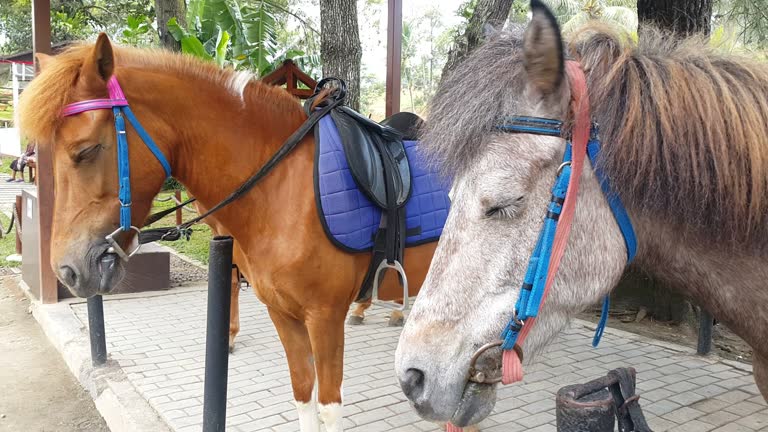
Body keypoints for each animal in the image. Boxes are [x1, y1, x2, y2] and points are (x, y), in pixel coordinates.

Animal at [18, 35, 436, 430]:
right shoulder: (283, 313)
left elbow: (329, 407)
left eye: (86, 151)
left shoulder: (324, 317)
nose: (68, 270)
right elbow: (303, 393)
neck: (285, 184)